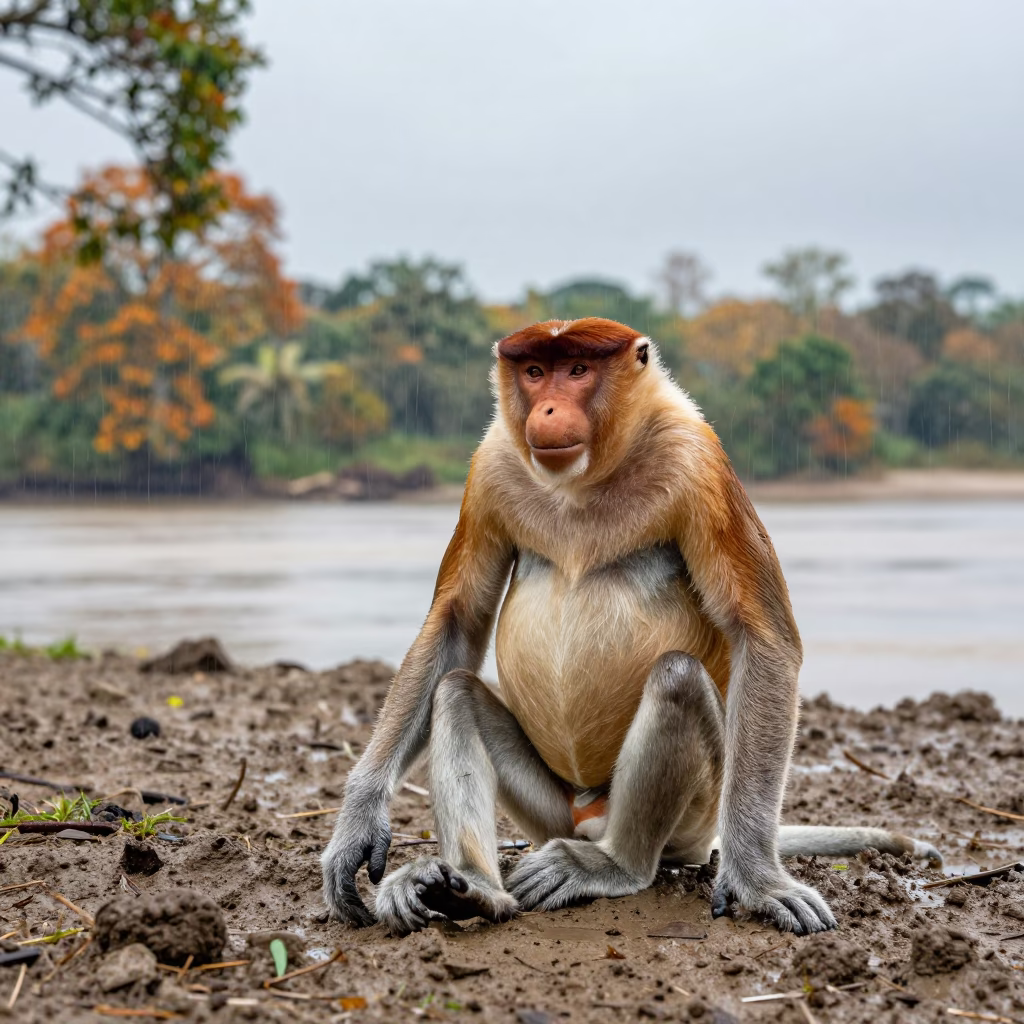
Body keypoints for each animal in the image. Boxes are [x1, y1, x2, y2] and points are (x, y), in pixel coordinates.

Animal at [321, 316, 940, 937]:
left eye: (578, 370)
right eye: (535, 371)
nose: (546, 410)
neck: (583, 479)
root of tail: (591, 816)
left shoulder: (698, 460)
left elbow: (763, 636)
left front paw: (760, 881)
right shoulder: (491, 465)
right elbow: (457, 621)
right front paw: (356, 827)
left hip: (697, 811)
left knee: (678, 680)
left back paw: (613, 865)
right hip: (551, 809)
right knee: (454, 694)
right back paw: (473, 889)